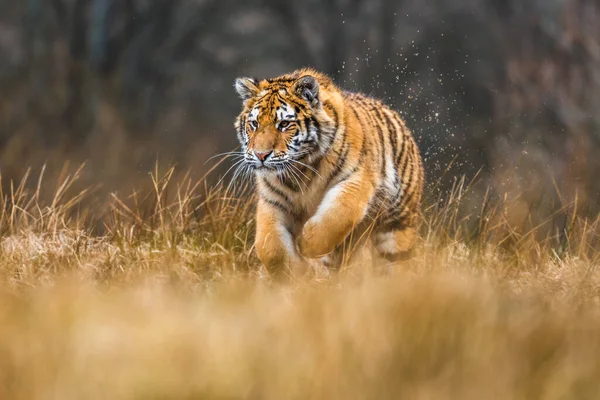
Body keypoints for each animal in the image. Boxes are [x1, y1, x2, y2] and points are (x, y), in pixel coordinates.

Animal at [232, 68, 424, 276]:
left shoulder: (355, 180)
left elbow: (336, 218)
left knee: (396, 262)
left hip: (397, 223)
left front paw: (306, 244)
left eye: (283, 124)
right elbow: (270, 248)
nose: (261, 155)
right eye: (254, 124)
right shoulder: (273, 200)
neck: (300, 168)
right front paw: (295, 272)